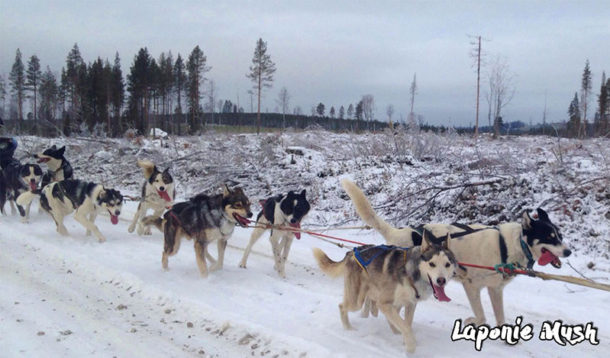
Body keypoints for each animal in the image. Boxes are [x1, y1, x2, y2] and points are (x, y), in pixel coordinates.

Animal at [316, 239, 454, 354]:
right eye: (432, 264)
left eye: (447, 264)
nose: (441, 280)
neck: (410, 272)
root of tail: (352, 252)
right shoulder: (383, 303)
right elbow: (405, 327)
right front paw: (410, 347)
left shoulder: (410, 304)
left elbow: (406, 324)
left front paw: (403, 338)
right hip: (357, 301)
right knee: (342, 306)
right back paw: (348, 329)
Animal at [342, 179, 568, 328]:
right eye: (549, 237)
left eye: (560, 235)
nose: (568, 251)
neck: (506, 245)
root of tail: (399, 232)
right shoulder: (472, 286)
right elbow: (482, 316)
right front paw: (472, 320)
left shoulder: (495, 290)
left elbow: (500, 317)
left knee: (372, 298)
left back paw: (367, 313)